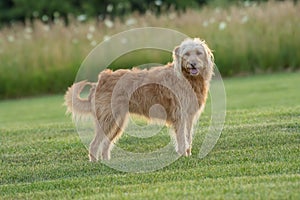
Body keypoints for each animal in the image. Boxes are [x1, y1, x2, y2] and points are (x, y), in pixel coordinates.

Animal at [64, 37, 214, 162]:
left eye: (199, 53)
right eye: (187, 54)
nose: (193, 64)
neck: (188, 78)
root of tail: (99, 81)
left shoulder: (189, 116)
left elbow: (188, 137)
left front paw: (187, 154)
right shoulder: (180, 116)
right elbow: (182, 138)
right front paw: (183, 155)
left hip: (117, 121)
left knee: (105, 143)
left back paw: (106, 161)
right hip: (108, 120)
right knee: (94, 144)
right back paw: (96, 163)